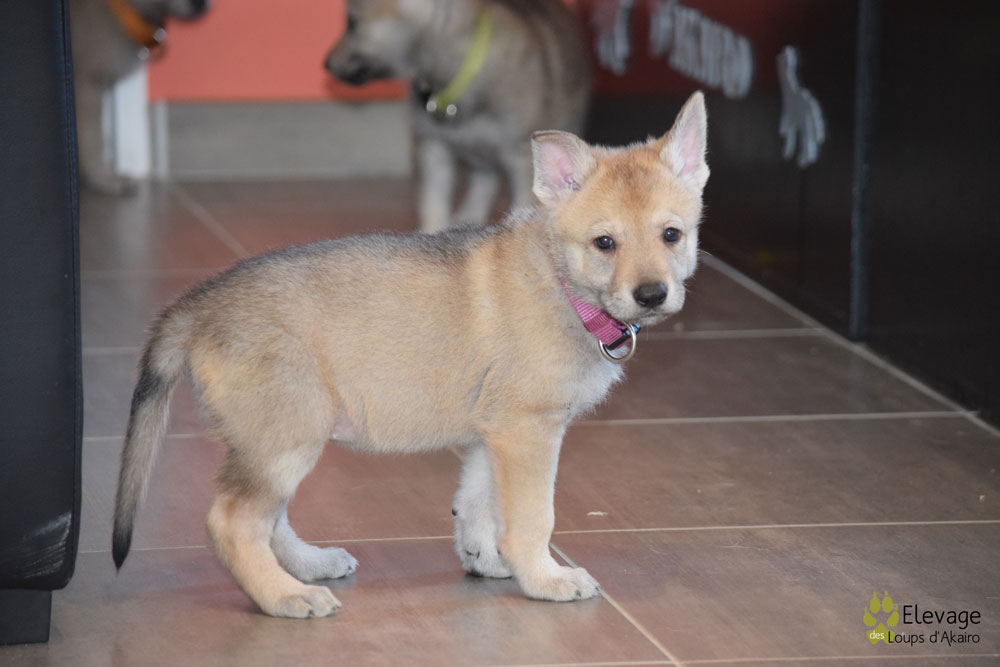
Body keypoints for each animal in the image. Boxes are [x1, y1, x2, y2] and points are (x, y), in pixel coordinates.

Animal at [112, 92, 709, 618]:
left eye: (672, 235)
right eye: (605, 243)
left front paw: (486, 561)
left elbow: (476, 506)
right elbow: (532, 518)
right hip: (288, 438)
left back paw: (307, 567)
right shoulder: (529, 431)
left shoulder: (490, 434)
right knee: (232, 523)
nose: (652, 295)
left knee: (269, 520)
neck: (560, 282)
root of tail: (199, 305)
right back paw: (283, 597)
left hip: (274, 443)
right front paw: (545, 578)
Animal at [325, 0, 591, 233]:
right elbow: (433, 202)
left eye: (353, 23)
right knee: (484, 178)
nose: (326, 64)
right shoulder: (433, 147)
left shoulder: (520, 156)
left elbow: (523, 202)